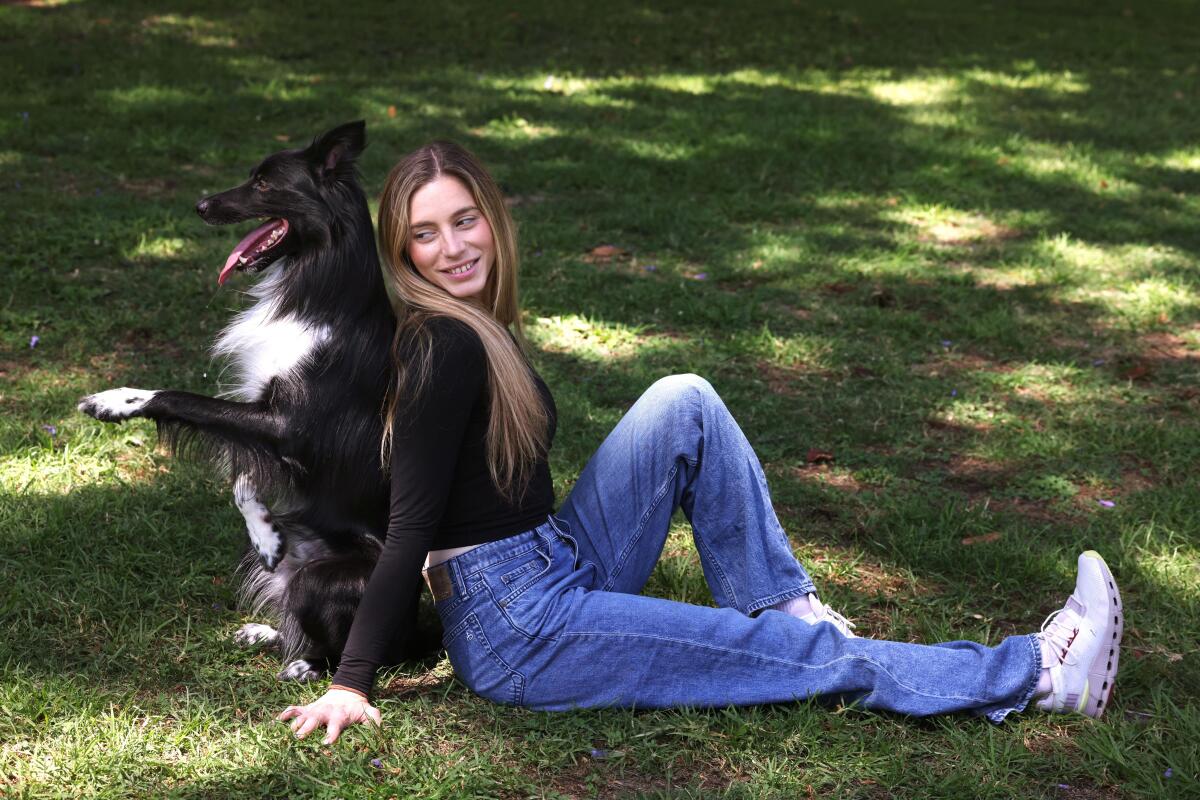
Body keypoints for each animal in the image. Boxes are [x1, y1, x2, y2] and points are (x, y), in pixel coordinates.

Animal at [78, 120, 436, 681]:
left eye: (265, 185)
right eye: (252, 176)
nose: (201, 205)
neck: (318, 286)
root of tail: (420, 631)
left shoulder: (290, 425)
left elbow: (180, 398)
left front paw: (118, 400)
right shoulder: (270, 429)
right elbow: (244, 478)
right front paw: (266, 536)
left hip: (330, 582)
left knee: (355, 647)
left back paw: (307, 667)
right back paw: (266, 632)